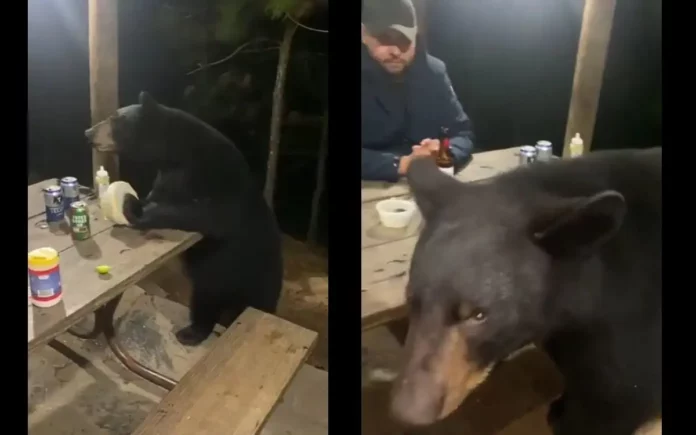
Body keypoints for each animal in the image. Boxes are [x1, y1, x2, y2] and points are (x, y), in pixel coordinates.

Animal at [85, 91, 284, 347]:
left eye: (114, 118)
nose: (88, 132)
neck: (177, 155)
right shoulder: (168, 178)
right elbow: (158, 196)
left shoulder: (219, 181)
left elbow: (204, 214)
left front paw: (132, 206)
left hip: (252, 280)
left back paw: (190, 333)